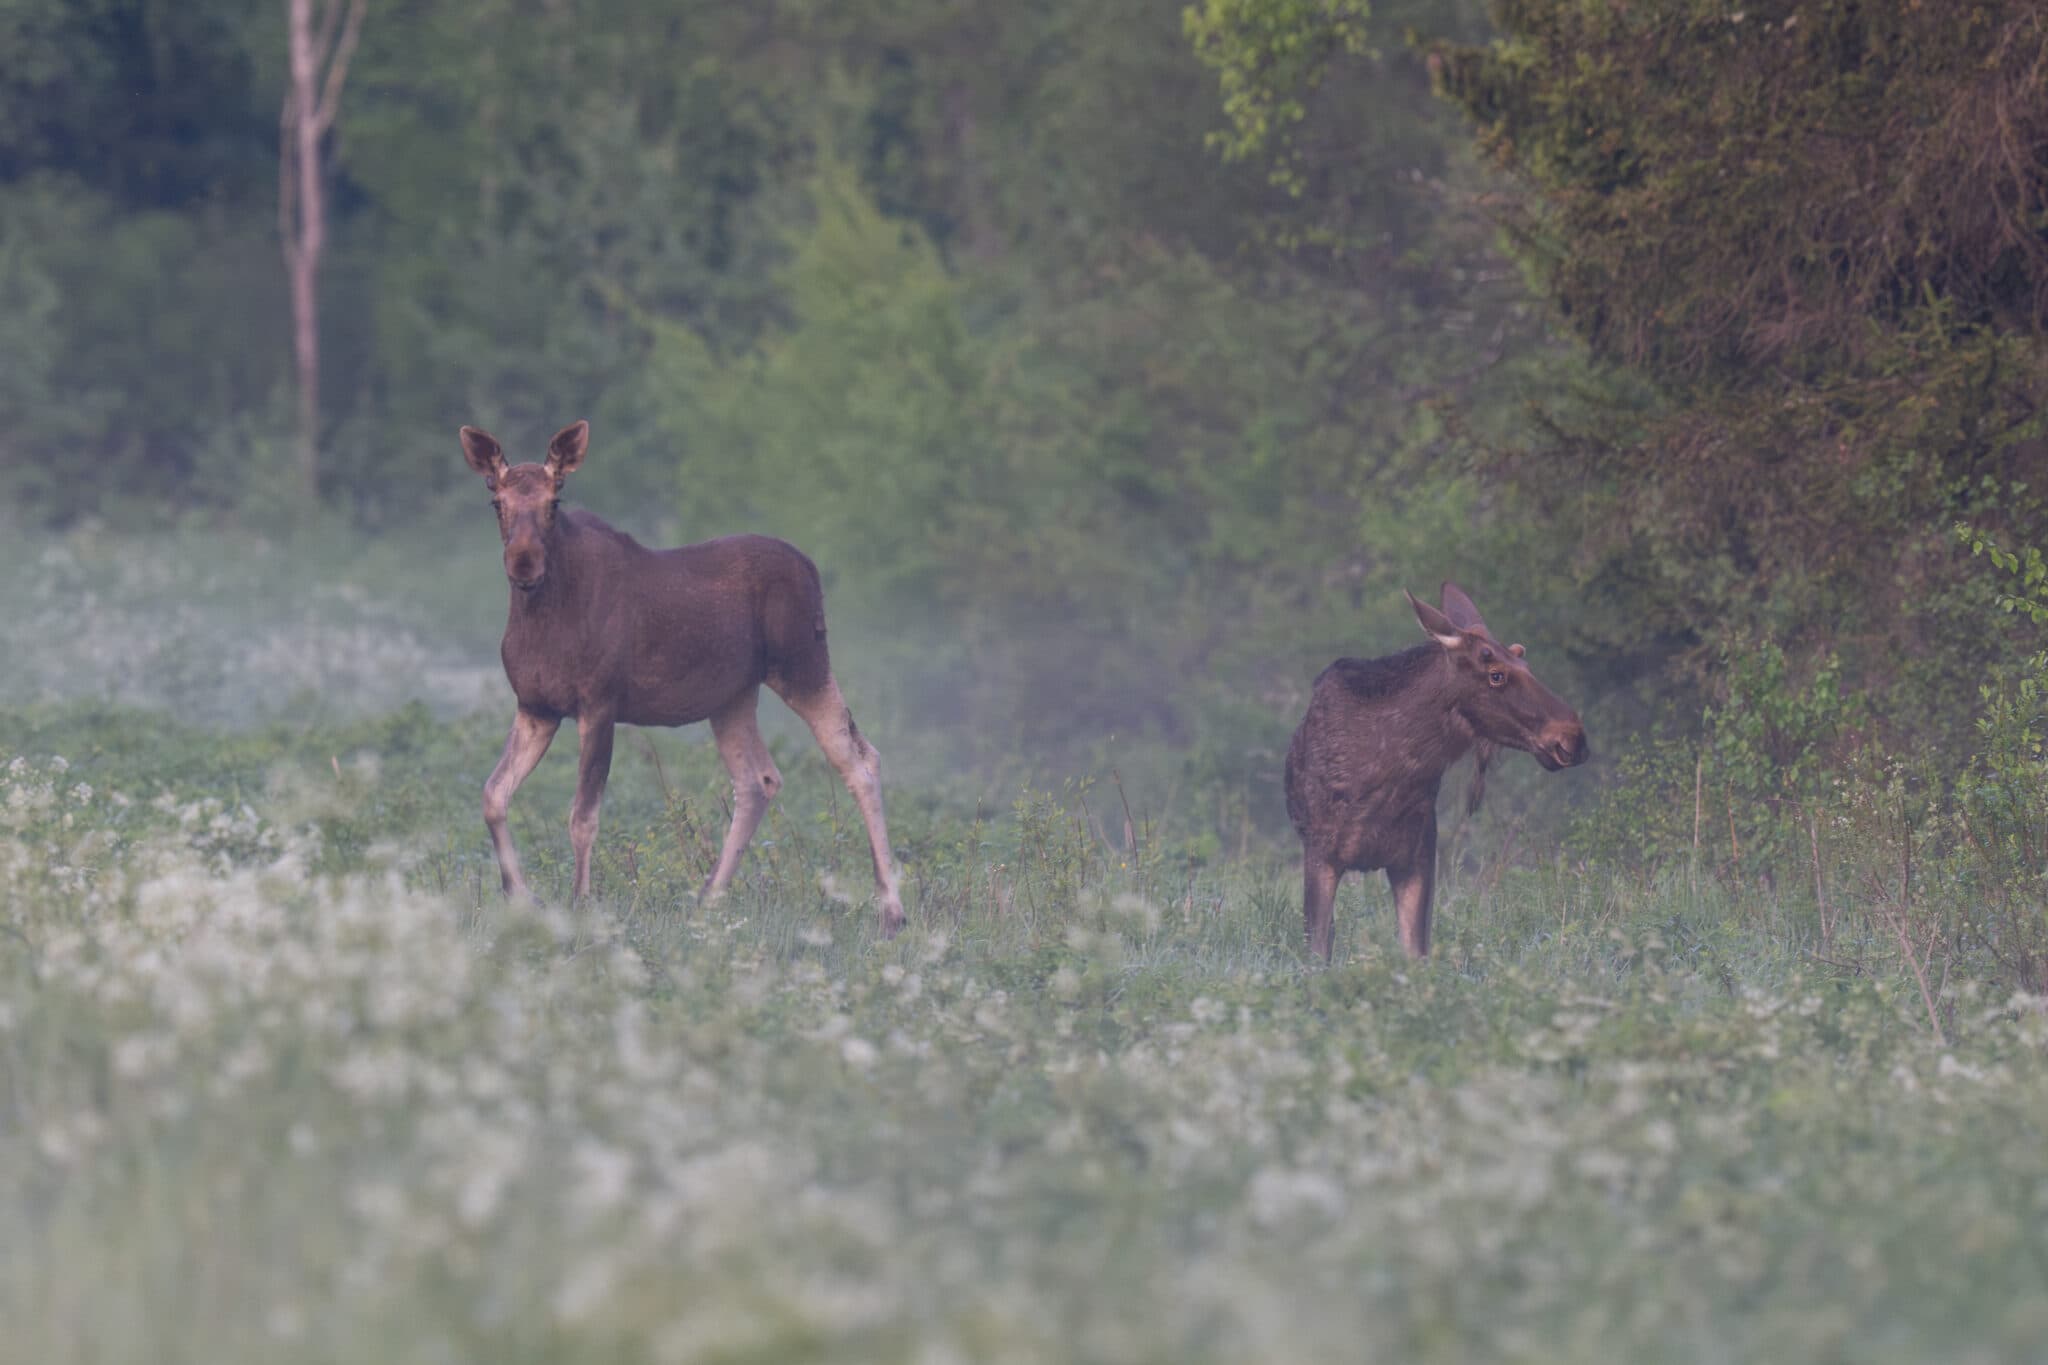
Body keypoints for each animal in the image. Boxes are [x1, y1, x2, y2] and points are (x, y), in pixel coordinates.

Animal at [459, 420, 905, 936]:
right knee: (759, 779)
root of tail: (812, 569)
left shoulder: (600, 704)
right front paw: (521, 897)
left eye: (555, 501)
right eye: (497, 502)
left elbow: (582, 817)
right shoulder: (536, 708)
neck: (540, 620)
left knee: (859, 758)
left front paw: (581, 905)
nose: (524, 563)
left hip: (802, 664)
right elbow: (493, 794)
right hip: (733, 696)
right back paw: (708, 900)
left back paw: (892, 909)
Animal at [1284, 583, 1588, 961]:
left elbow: (1416, 955)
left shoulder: (1418, 857)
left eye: (1523, 658)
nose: (1574, 737)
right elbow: (1317, 954)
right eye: (1496, 674)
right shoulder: (1320, 855)